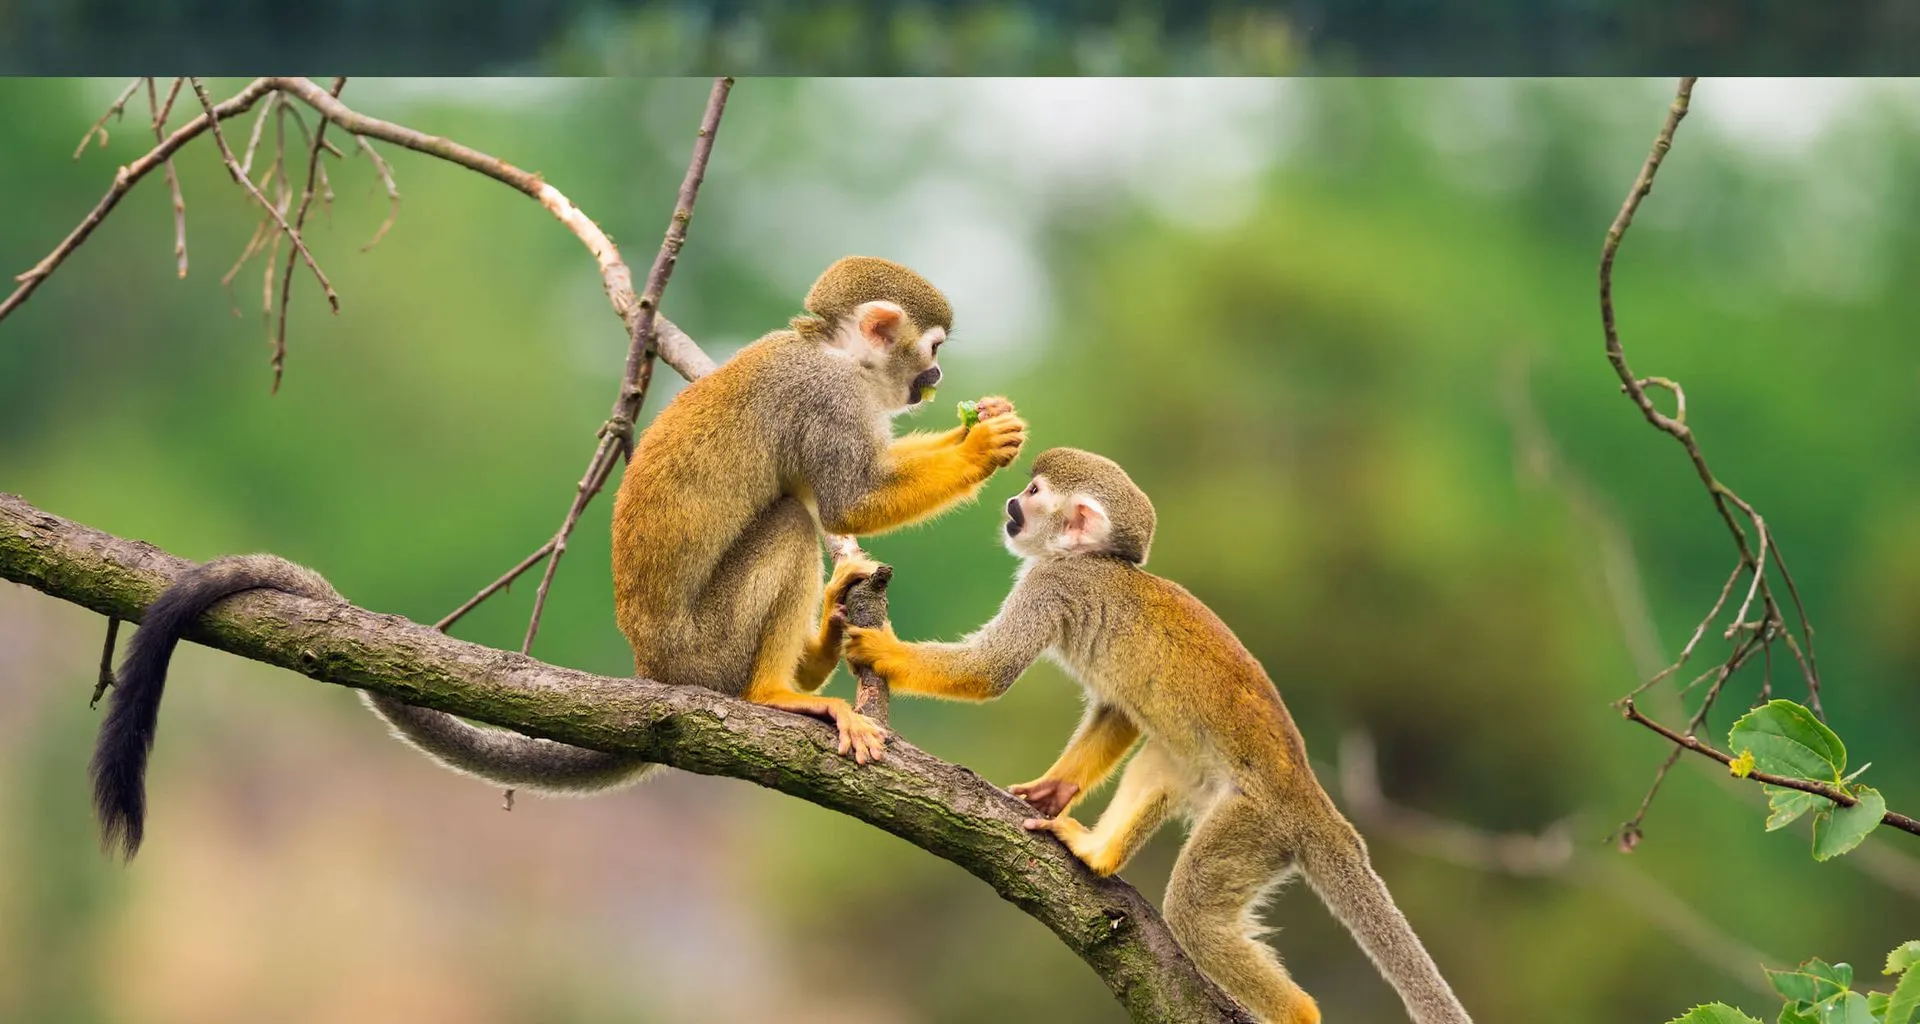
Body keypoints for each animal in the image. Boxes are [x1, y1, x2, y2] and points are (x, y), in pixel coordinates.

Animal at [88, 256, 1028, 859]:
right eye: (931, 349)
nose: (937, 381)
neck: (835, 355)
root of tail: (655, 674)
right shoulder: (825, 400)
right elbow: (844, 501)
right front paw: (984, 447)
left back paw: (826, 637)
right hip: (706, 649)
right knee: (792, 523)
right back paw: (777, 692)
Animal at [841, 448, 1473, 1024]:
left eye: (1035, 492)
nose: (1011, 505)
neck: (1094, 560)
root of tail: (1312, 801)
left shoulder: (1052, 584)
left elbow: (990, 672)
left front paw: (881, 649)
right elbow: (1119, 711)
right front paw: (1054, 790)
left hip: (1257, 825)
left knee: (1195, 911)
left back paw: (1296, 1012)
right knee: (1164, 759)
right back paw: (1098, 853)